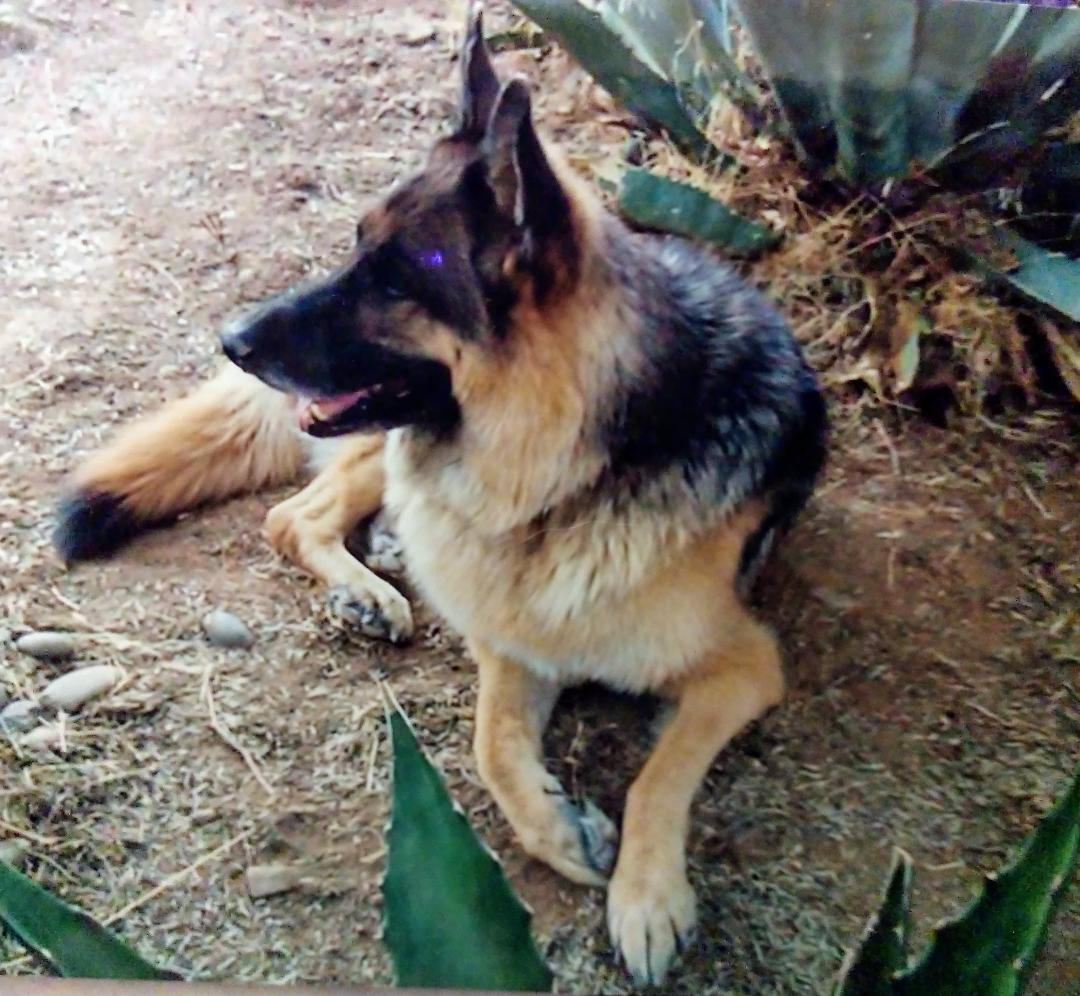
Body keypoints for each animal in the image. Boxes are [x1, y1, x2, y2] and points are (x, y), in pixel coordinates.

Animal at [52, 9, 825, 985]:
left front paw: (646, 898)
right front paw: (561, 832)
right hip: (377, 450)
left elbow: (659, 771)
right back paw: (370, 585)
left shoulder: (743, 666)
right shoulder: (514, 645)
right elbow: (490, 745)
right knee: (292, 515)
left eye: (392, 280)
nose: (230, 340)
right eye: (352, 246)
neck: (565, 480)